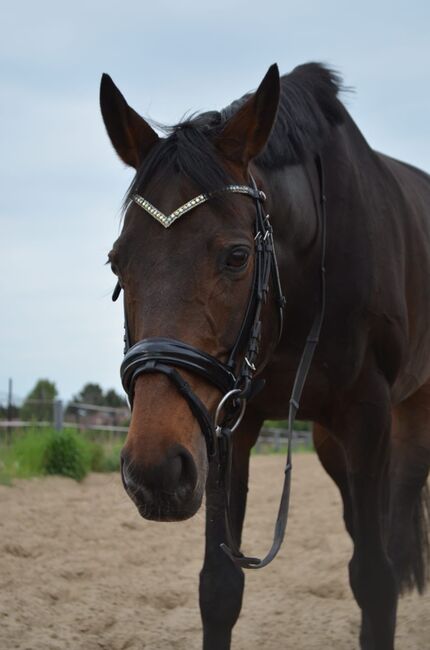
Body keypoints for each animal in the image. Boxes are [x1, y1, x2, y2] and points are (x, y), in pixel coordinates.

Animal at [99, 62, 428, 648]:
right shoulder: (229, 420)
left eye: (237, 256)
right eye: (118, 262)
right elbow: (219, 587)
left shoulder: (368, 415)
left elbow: (375, 580)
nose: (154, 471)